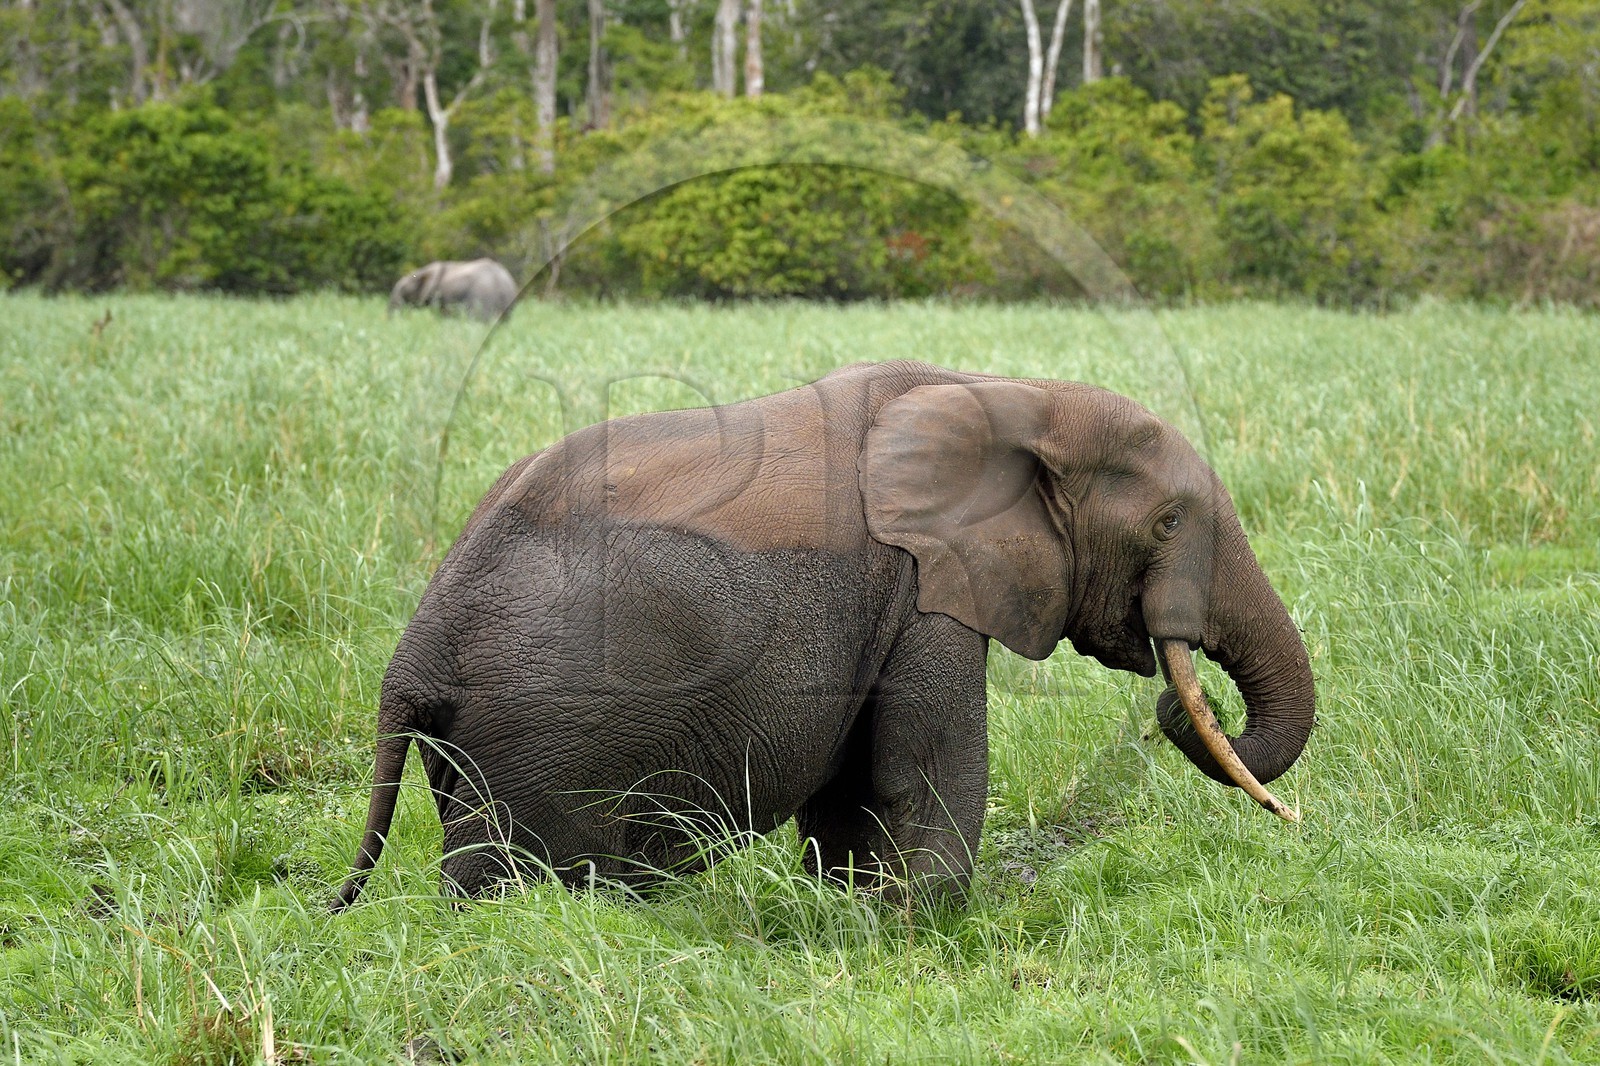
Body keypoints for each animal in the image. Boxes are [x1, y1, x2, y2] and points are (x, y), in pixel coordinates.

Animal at [333, 360, 1315, 911]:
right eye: (1168, 522)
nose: (1172, 704)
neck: (1017, 393)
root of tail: (412, 656)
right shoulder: (925, 590)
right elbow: (929, 762)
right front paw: (922, 928)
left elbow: (851, 783)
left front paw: (847, 918)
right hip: (542, 728)